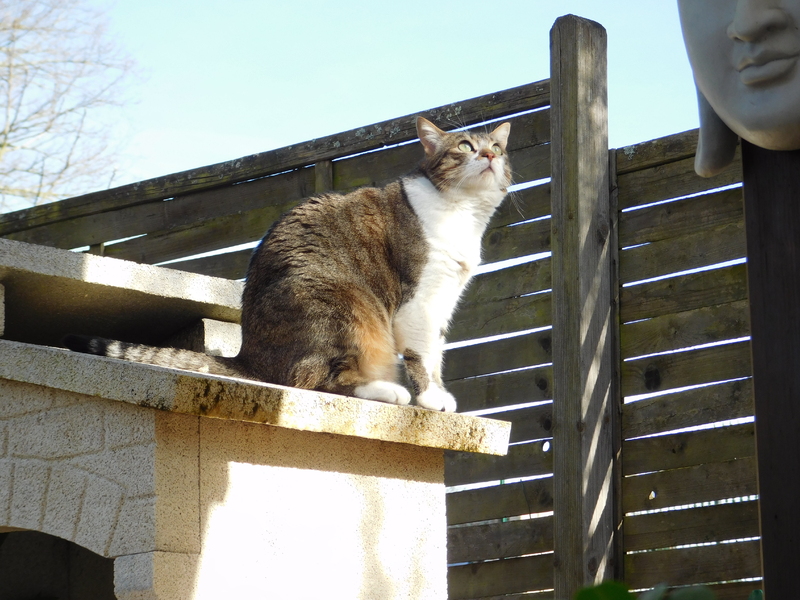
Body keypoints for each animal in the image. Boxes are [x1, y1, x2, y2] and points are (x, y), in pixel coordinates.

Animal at [64, 116, 512, 412]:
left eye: (498, 148)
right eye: (465, 147)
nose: (490, 154)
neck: (462, 213)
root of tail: (249, 357)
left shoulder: (443, 301)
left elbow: (436, 353)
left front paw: (440, 392)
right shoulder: (419, 300)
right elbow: (423, 356)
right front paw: (431, 399)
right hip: (346, 305)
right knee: (315, 380)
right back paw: (387, 391)